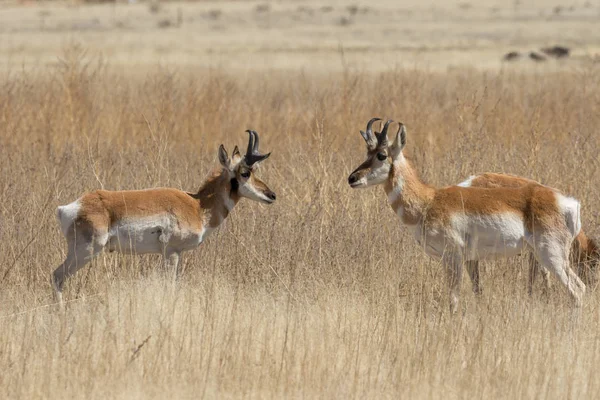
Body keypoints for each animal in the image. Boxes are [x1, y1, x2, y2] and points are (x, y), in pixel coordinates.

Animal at [53, 130, 274, 302]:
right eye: (245, 172)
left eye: (255, 170)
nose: (272, 195)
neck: (196, 205)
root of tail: (69, 208)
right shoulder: (172, 252)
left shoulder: (174, 254)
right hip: (86, 251)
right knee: (57, 276)